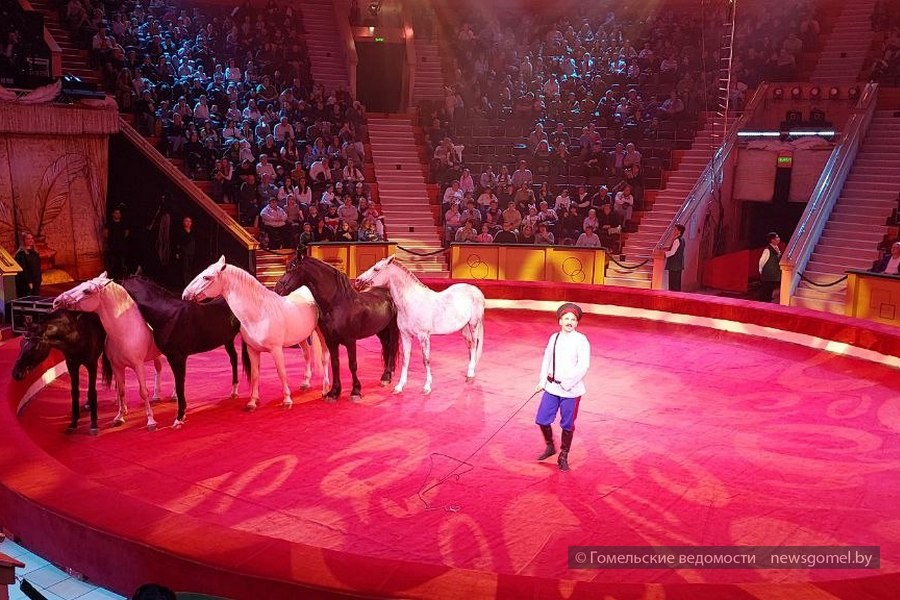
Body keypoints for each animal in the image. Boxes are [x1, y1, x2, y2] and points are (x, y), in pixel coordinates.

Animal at [52, 274, 167, 434]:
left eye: (86, 291)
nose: (56, 301)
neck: (125, 330)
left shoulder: (138, 366)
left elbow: (143, 392)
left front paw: (150, 421)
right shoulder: (117, 366)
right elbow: (122, 391)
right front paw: (119, 417)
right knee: (158, 368)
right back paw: (156, 395)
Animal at [125, 274, 243, 428]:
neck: (167, 315)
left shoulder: (177, 357)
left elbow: (180, 385)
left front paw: (179, 418)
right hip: (228, 340)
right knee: (234, 359)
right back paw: (234, 391)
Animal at [181, 255, 328, 410]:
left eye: (206, 277)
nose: (185, 295)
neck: (260, 313)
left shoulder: (276, 350)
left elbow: (282, 373)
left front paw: (287, 400)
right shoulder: (252, 350)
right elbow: (255, 375)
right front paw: (252, 402)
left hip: (320, 333)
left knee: (324, 357)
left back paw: (325, 388)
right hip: (300, 337)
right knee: (306, 354)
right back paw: (305, 383)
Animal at [274, 253, 398, 404]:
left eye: (292, 268)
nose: (277, 289)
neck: (337, 304)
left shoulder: (350, 341)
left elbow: (352, 364)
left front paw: (356, 391)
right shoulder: (331, 341)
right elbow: (335, 364)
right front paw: (333, 392)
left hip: (392, 327)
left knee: (392, 347)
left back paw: (386, 377)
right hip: (381, 330)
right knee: (386, 347)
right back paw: (387, 374)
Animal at [356, 253, 488, 394]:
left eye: (376, 269)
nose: (357, 281)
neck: (411, 302)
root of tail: (476, 291)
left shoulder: (424, 336)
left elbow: (426, 360)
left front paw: (427, 387)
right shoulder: (405, 335)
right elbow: (405, 359)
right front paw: (399, 386)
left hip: (473, 325)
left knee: (474, 345)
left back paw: (470, 375)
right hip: (464, 328)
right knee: (470, 346)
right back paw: (470, 371)